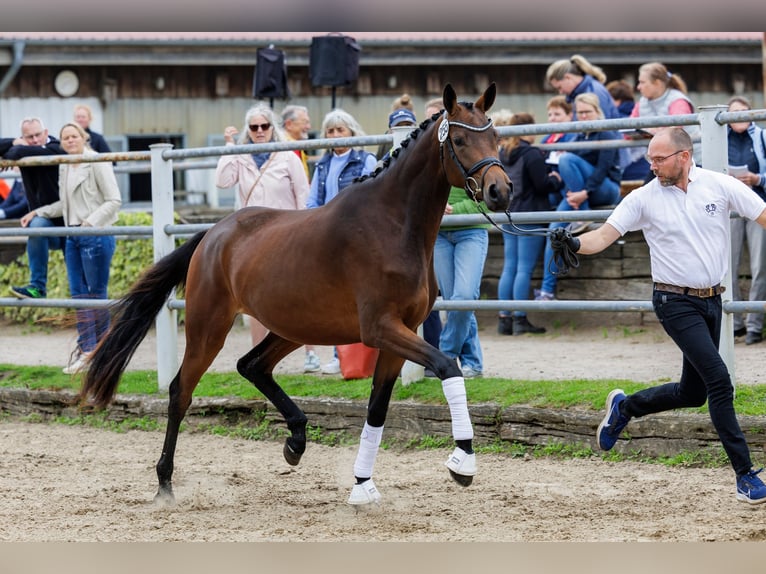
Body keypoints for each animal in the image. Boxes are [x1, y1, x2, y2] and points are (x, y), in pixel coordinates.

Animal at [78, 84, 512, 508]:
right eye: (459, 139)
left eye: (494, 137)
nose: (501, 191)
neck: (392, 225)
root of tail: (213, 233)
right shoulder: (381, 329)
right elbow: (448, 366)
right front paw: (462, 462)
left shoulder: (398, 335)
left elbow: (377, 409)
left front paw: (362, 486)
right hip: (209, 327)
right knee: (180, 391)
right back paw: (165, 484)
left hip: (294, 327)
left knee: (251, 366)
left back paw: (296, 440)